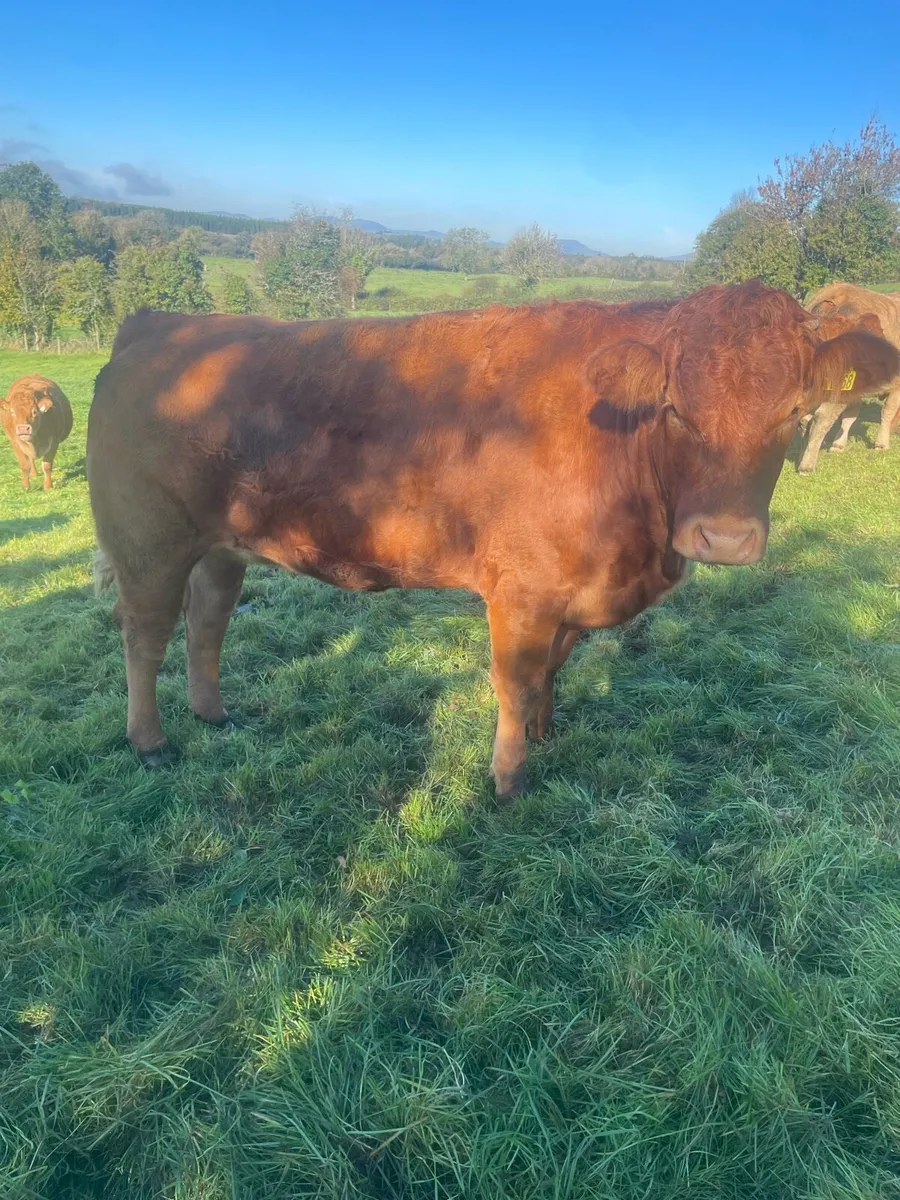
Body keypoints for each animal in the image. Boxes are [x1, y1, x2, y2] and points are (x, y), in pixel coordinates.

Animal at [798, 282, 900, 474]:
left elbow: (850, 416)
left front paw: (838, 444)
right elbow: (888, 411)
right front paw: (881, 443)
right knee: (822, 417)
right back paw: (807, 465)